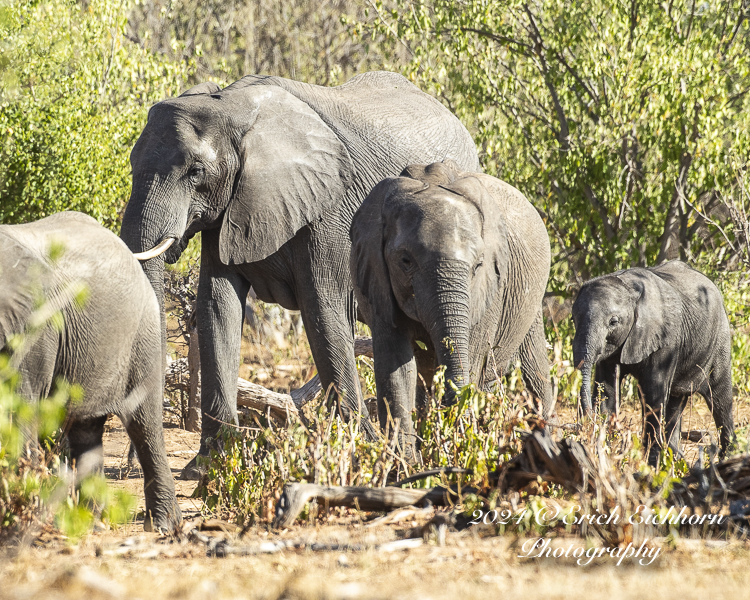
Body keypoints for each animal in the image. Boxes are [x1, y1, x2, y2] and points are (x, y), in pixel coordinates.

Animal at [0, 211, 182, 528]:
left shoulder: (31, 329)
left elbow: (17, 414)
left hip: (141, 333)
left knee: (143, 424)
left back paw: (162, 525)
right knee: (86, 431)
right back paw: (91, 521)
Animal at [119, 71, 478, 478]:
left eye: (196, 171)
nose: (129, 464)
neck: (232, 105)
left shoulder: (329, 209)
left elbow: (323, 312)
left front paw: (363, 451)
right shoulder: (228, 209)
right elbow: (217, 308)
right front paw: (208, 467)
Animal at [352, 161, 552, 454]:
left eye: (478, 264)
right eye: (405, 261)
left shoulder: (489, 290)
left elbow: (471, 357)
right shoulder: (375, 278)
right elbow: (396, 369)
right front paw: (406, 463)